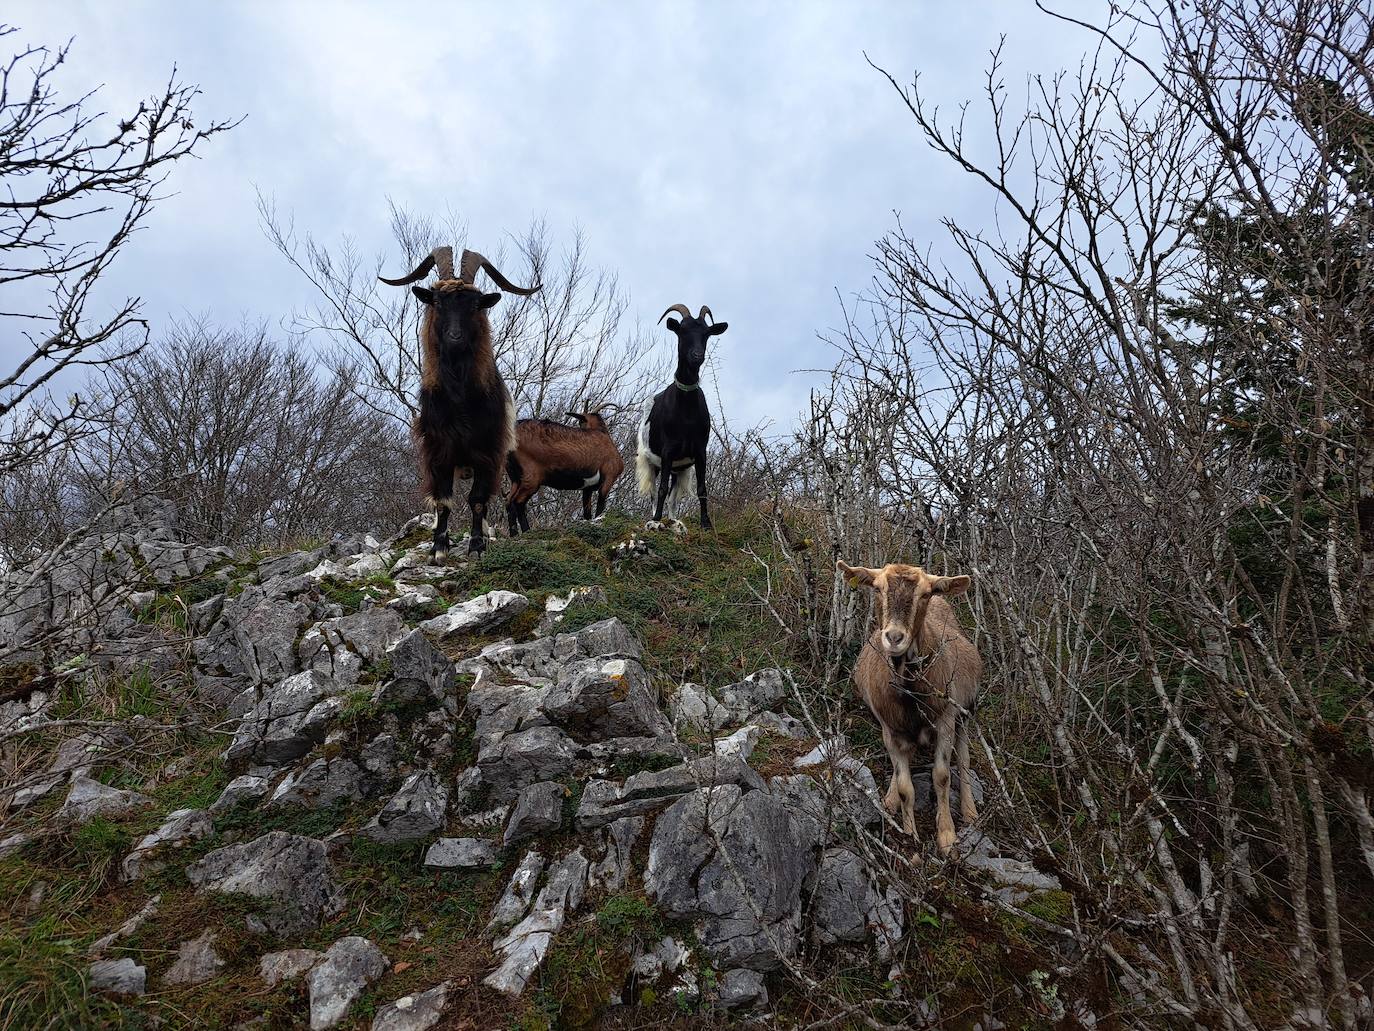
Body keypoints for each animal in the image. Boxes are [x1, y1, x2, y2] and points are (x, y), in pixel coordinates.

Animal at [381, 244, 546, 560]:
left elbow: (478, 500)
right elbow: (443, 501)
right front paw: (438, 548)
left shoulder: (487, 452)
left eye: (475, 304)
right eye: (437, 301)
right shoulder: (438, 451)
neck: (459, 400)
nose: (454, 337)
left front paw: (477, 546)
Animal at [505, 401, 629, 536]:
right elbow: (600, 507)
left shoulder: (587, 488)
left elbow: (587, 513)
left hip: (515, 478)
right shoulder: (609, 477)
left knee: (509, 502)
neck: (603, 435)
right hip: (531, 477)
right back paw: (527, 531)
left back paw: (513, 534)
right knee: (518, 501)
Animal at [634, 302, 730, 533]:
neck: (685, 413)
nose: (697, 355)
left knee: (673, 498)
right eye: (682, 331)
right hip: (650, 461)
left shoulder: (700, 451)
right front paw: (655, 520)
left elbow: (702, 488)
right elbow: (661, 489)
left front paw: (706, 524)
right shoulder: (668, 451)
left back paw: (674, 521)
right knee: (654, 491)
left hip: (681, 469)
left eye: (706, 333)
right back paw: (656, 518)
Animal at [829, 560, 983, 852]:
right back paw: (889, 800)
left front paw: (947, 837)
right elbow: (905, 787)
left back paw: (970, 811)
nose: (894, 637)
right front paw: (910, 834)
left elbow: (942, 776)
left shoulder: (946, 720)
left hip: (965, 713)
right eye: (877, 588)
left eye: (926, 593)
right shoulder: (891, 729)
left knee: (964, 758)